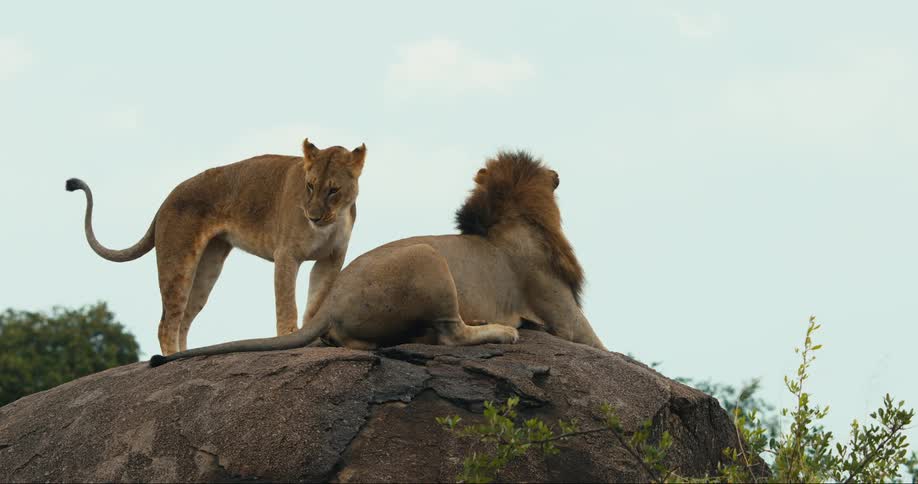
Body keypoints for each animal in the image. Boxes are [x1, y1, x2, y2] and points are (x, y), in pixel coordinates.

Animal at [66, 138, 367, 356]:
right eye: (309, 186)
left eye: (333, 190)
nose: (313, 217)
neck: (332, 221)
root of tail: (166, 199)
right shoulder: (286, 255)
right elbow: (286, 304)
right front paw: (289, 337)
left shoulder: (331, 258)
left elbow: (316, 301)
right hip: (179, 262)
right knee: (167, 323)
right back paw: (170, 358)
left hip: (207, 269)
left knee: (184, 320)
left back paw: (184, 355)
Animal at [149, 150, 605, 367]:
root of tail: (330, 303)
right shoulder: (565, 316)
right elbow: (603, 348)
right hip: (427, 258)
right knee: (453, 334)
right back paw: (500, 332)